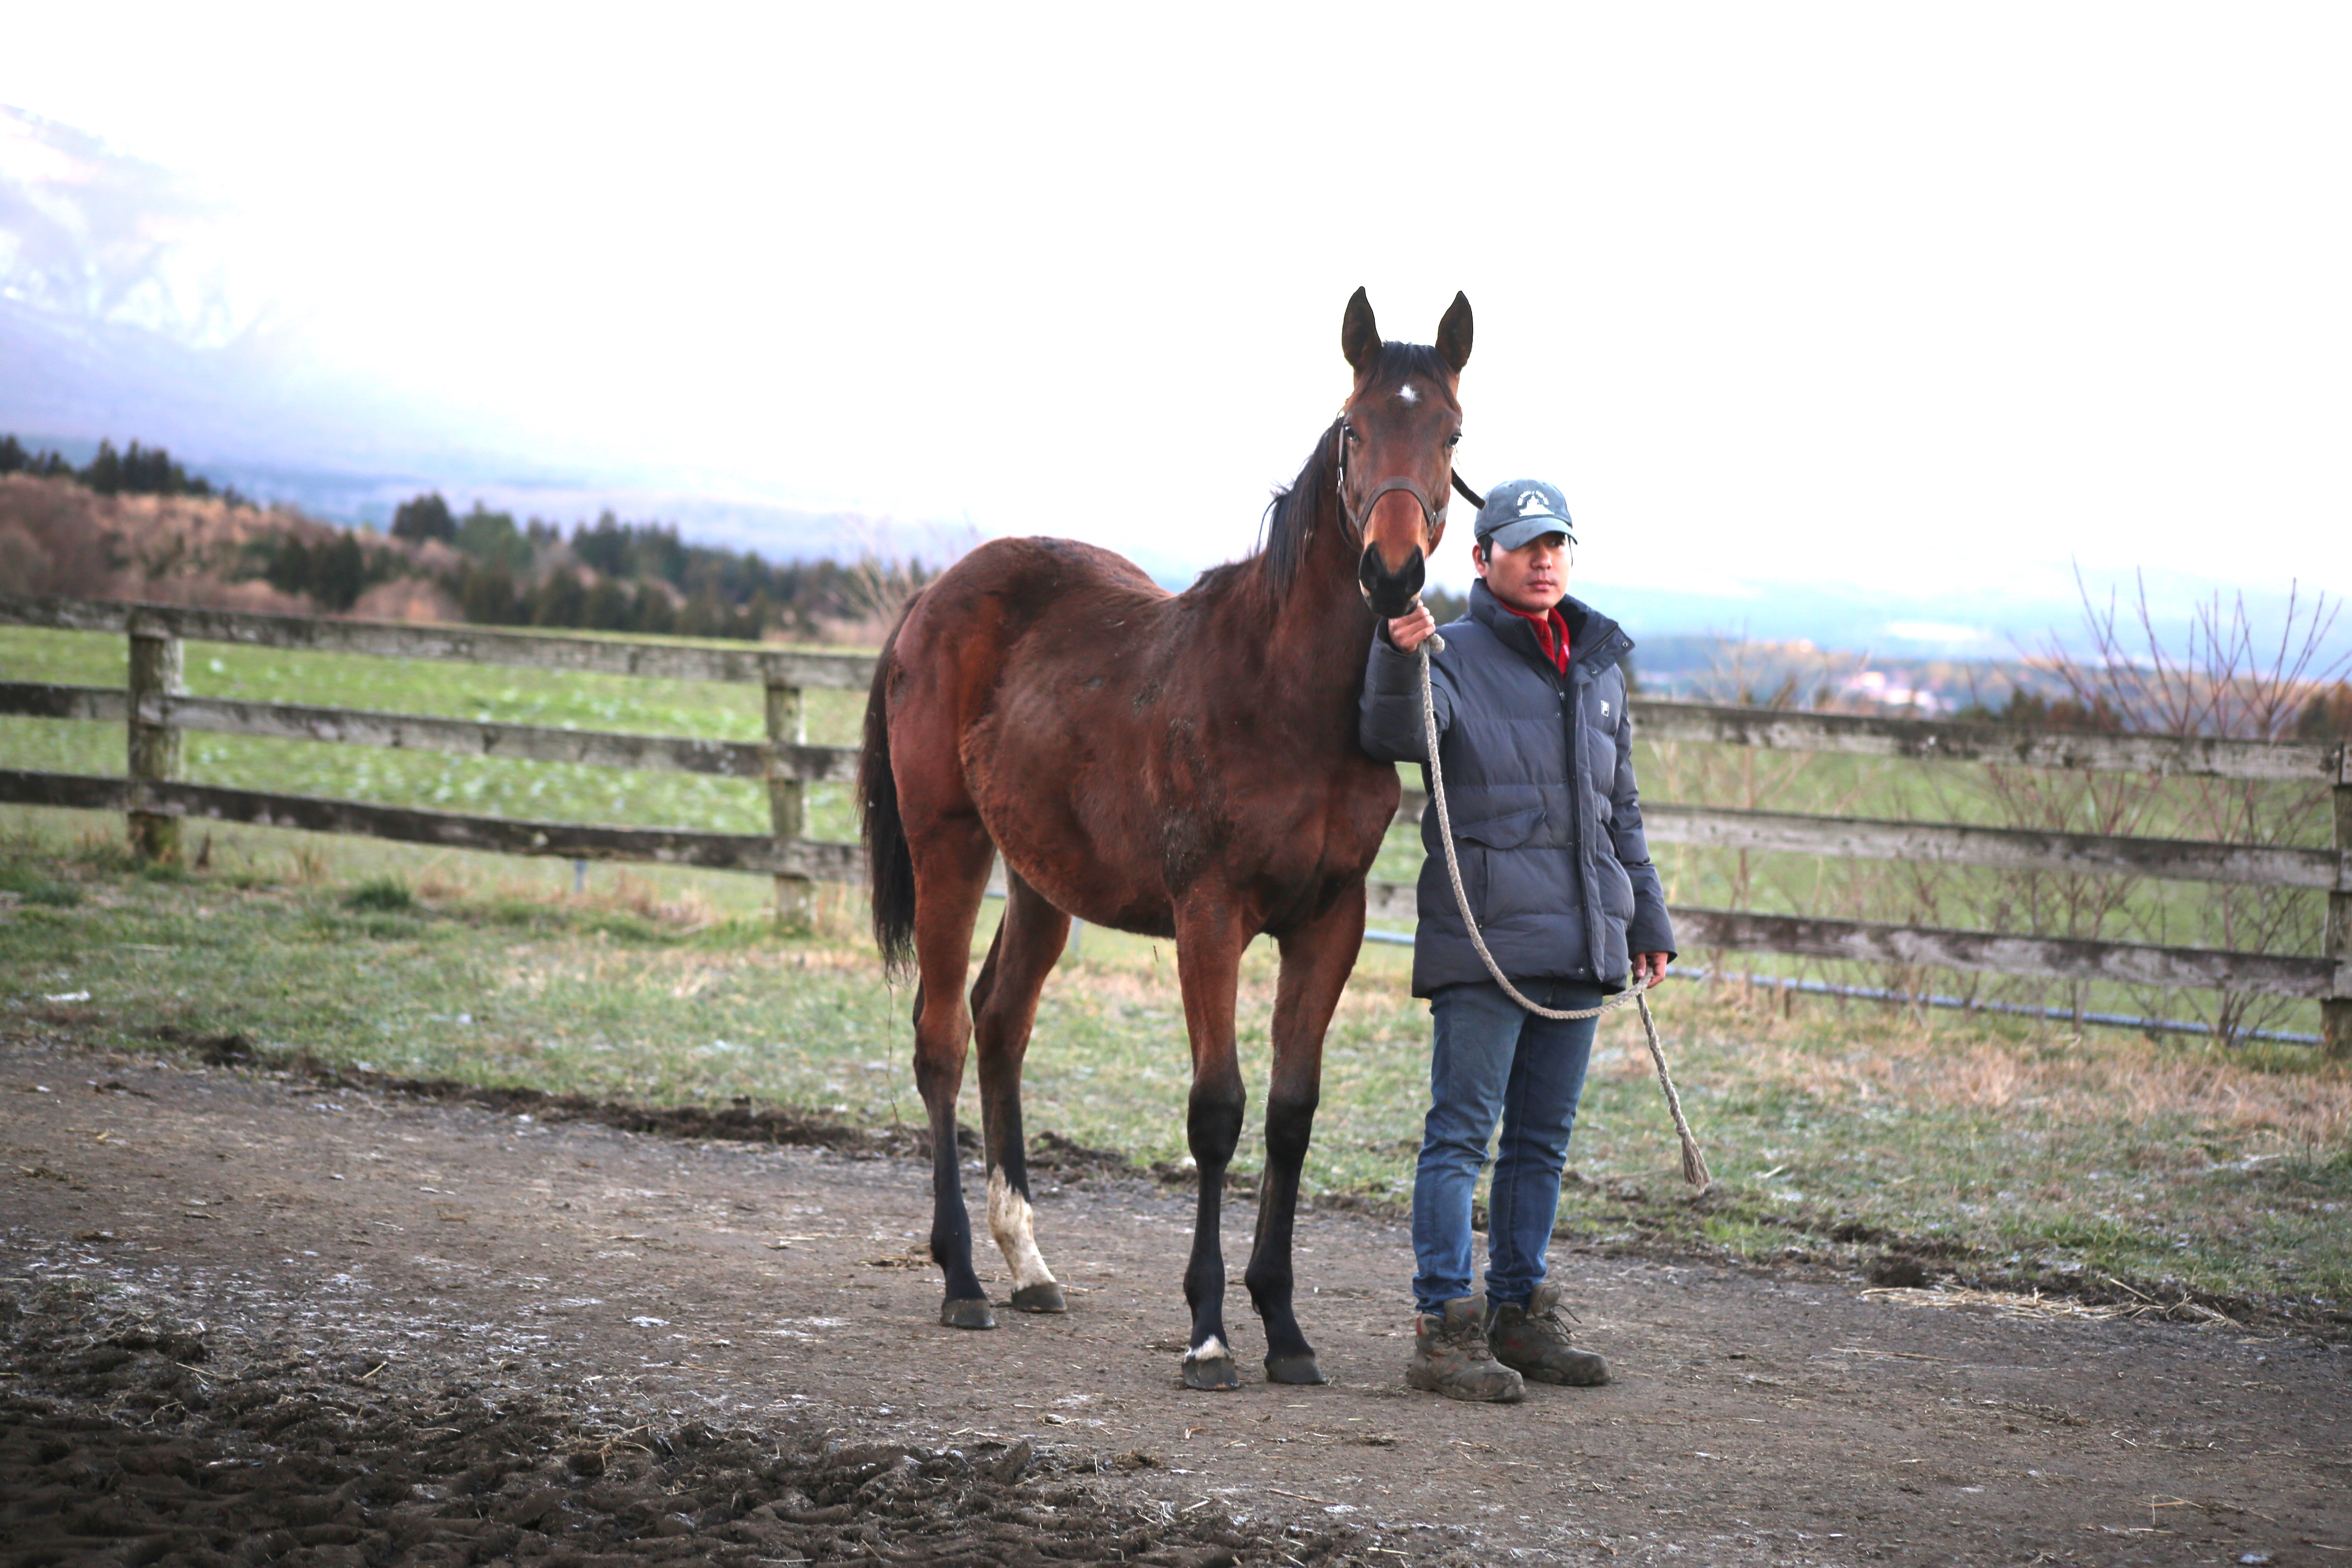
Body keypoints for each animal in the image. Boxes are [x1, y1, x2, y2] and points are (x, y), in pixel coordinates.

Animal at [856, 291, 1458, 1382]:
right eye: (1354, 429)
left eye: (1451, 433)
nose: (1392, 576)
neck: (1289, 695)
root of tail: (933, 598)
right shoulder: (1207, 916)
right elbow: (1216, 1109)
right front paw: (1210, 1327)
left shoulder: (1331, 923)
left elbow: (1290, 1113)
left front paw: (1285, 1326)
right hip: (948, 848)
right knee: (942, 1038)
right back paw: (963, 1277)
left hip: (1042, 877)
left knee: (1000, 1020)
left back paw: (1027, 1261)